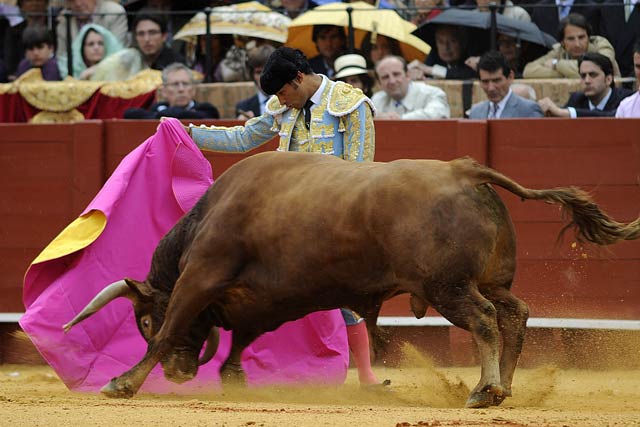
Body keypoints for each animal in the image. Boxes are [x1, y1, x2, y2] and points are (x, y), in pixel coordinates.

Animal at [61, 153, 640, 408]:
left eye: (140, 318)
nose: (181, 375)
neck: (210, 214)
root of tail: (464, 169)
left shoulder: (202, 275)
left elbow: (170, 329)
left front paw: (122, 382)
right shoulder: (261, 300)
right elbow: (243, 336)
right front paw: (232, 376)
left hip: (447, 288)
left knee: (484, 321)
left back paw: (484, 390)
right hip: (488, 280)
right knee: (514, 313)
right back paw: (506, 387)